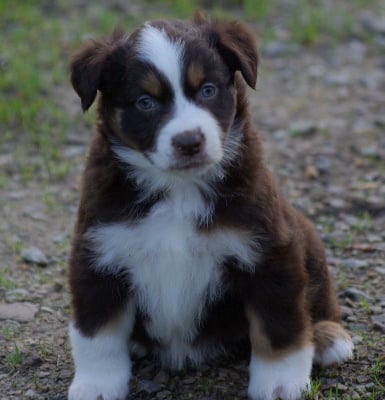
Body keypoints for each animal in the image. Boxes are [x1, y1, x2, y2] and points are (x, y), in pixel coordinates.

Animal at [67, 13, 352, 400]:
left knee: (319, 296)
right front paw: (95, 385)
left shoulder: (268, 251)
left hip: (306, 237)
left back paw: (327, 337)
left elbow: (279, 323)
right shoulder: (100, 254)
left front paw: (280, 382)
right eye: (145, 102)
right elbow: (97, 333)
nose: (189, 141)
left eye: (207, 90)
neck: (177, 190)